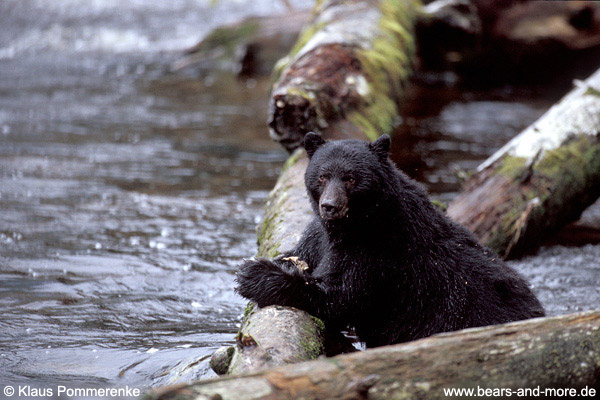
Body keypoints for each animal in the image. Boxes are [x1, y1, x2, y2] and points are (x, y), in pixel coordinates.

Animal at [237, 133, 548, 348]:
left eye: (351, 178)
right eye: (323, 176)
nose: (330, 206)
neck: (356, 223)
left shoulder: (380, 250)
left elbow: (341, 295)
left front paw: (255, 274)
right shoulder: (321, 237)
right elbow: (305, 254)